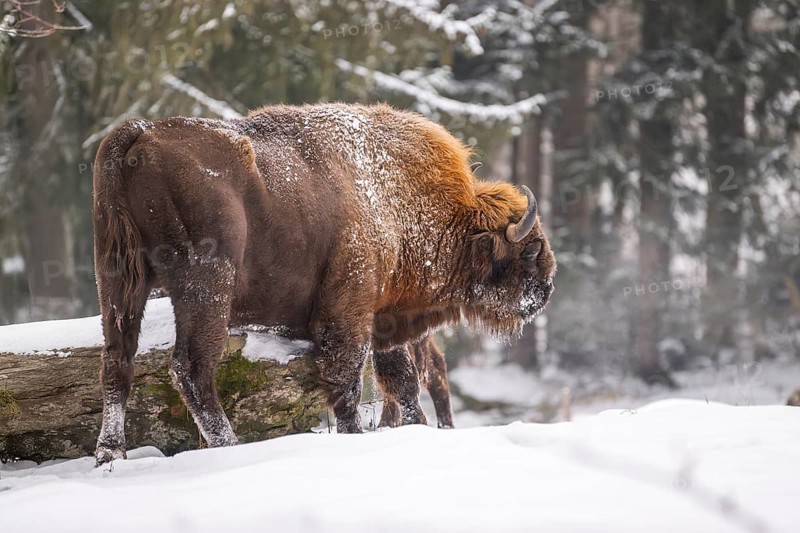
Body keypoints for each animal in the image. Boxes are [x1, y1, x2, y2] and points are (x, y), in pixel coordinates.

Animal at [92, 103, 555, 464]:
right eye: (529, 251)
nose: (546, 290)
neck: (399, 201)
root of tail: (140, 132)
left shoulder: (382, 322)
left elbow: (400, 383)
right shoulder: (349, 313)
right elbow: (349, 382)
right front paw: (356, 436)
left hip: (118, 282)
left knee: (118, 361)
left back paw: (110, 453)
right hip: (205, 286)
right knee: (192, 367)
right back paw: (229, 446)